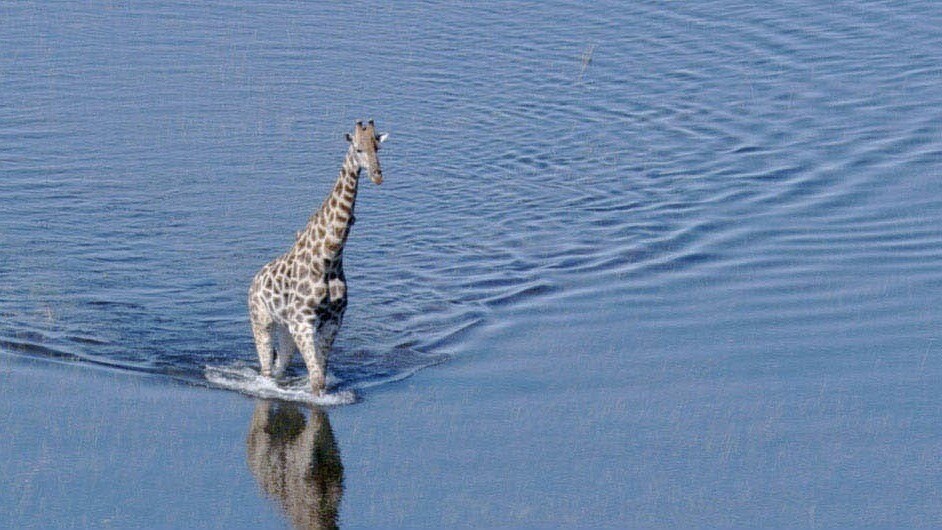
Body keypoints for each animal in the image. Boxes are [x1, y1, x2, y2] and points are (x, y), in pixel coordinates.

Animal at [249, 118, 390, 392]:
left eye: (378, 147)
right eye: (358, 149)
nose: (377, 175)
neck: (329, 258)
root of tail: (254, 281)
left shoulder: (331, 322)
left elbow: (320, 377)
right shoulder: (302, 321)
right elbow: (316, 380)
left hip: (285, 328)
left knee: (281, 366)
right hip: (262, 321)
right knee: (267, 368)